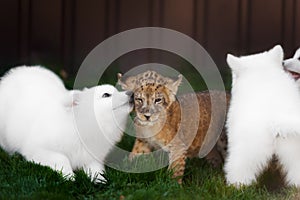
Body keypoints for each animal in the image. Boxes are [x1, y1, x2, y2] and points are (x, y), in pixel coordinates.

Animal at [0, 66, 132, 182]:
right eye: (106, 95)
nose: (131, 93)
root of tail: (19, 71)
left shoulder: (92, 158)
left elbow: (96, 168)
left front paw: (99, 179)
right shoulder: (37, 149)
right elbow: (62, 158)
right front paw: (69, 176)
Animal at [225, 45, 300, 188]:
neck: (263, 76)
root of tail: (277, 120)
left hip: (247, 148)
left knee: (239, 169)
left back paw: (236, 187)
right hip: (294, 152)